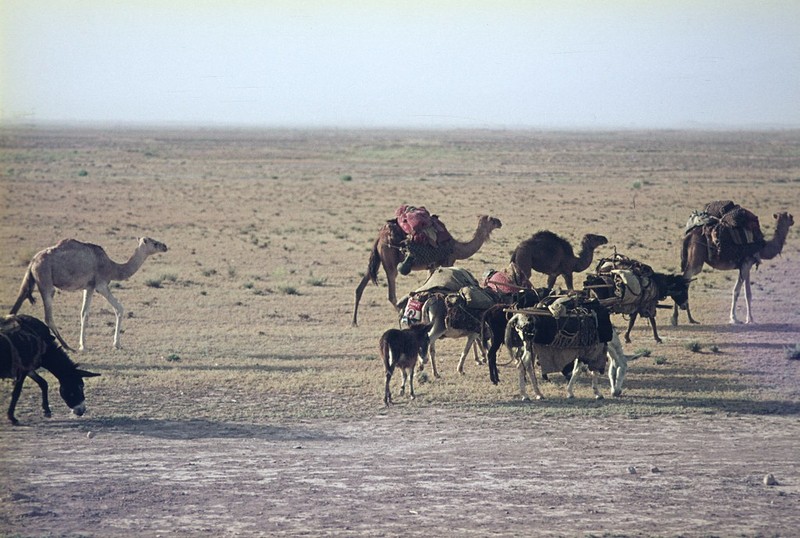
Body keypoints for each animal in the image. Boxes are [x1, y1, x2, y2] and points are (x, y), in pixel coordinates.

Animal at [9, 237, 169, 350]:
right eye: (154, 243)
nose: (165, 246)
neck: (112, 267)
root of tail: (33, 261)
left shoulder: (89, 287)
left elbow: (84, 313)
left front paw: (83, 344)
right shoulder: (101, 284)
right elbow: (119, 308)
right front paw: (116, 344)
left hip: (30, 278)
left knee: (16, 305)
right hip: (46, 281)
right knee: (48, 316)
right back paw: (66, 346)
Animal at [352, 213, 500, 324]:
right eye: (492, 219)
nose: (500, 222)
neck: (457, 247)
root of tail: (379, 237)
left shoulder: (432, 266)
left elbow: (428, 283)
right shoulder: (446, 261)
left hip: (377, 259)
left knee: (361, 285)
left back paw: (354, 322)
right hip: (390, 263)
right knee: (391, 294)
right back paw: (401, 315)